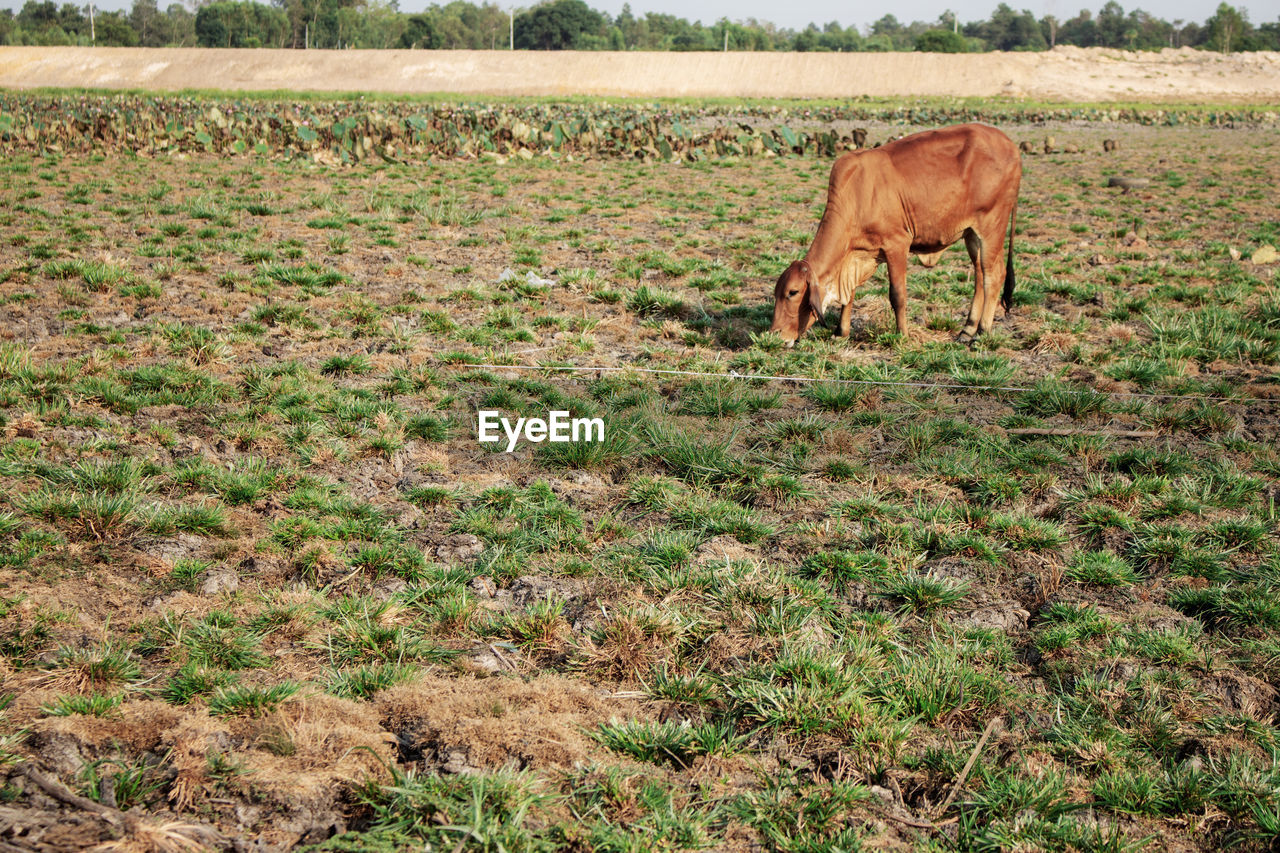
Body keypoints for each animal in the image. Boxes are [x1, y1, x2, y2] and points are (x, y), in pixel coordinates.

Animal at [768, 120, 1018, 345]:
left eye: (792, 292)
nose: (775, 335)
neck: (856, 196)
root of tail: (1010, 145)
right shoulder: (856, 257)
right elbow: (849, 295)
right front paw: (841, 332)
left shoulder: (897, 244)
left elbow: (897, 295)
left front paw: (902, 334)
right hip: (971, 234)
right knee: (979, 275)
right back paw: (967, 330)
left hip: (992, 225)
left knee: (994, 275)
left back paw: (982, 332)